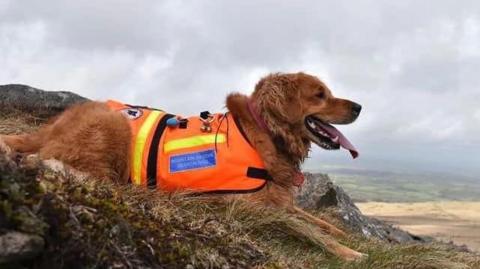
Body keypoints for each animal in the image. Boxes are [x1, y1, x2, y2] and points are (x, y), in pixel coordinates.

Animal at [0, 71, 364, 260]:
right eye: (319, 95)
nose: (359, 106)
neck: (263, 133)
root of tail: (48, 128)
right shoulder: (247, 207)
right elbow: (306, 228)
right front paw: (350, 253)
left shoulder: (277, 199)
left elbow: (313, 219)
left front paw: (344, 232)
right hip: (112, 127)